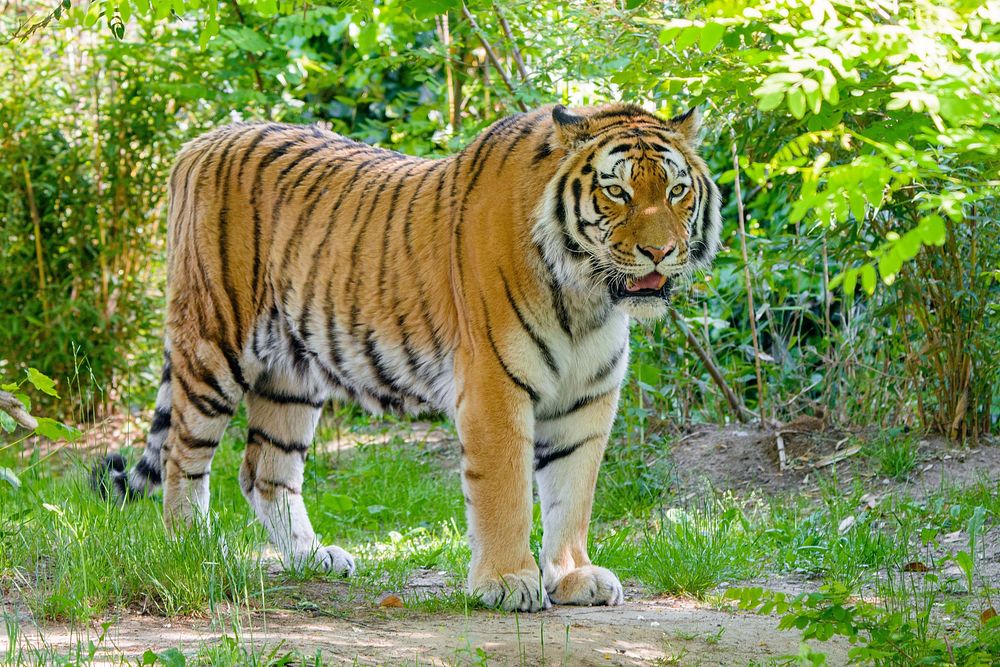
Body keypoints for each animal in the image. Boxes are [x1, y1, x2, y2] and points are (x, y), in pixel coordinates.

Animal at [97, 103, 724, 612]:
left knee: (263, 469)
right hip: (213, 344)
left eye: (675, 191)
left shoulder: (586, 399)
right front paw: (506, 582)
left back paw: (314, 557)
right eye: (617, 192)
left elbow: (572, 495)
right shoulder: (495, 387)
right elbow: (505, 491)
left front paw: (572, 578)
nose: (660, 251)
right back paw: (195, 551)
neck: (588, 296)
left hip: (291, 372)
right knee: (183, 457)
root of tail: (198, 143)